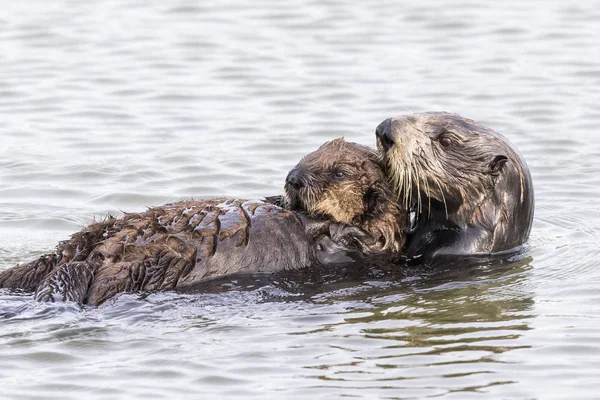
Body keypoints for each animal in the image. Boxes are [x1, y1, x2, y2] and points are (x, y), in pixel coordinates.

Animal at [0, 139, 406, 304]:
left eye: (338, 172)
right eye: (307, 155)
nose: (293, 178)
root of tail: (91, 255)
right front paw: (274, 200)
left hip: (146, 262)